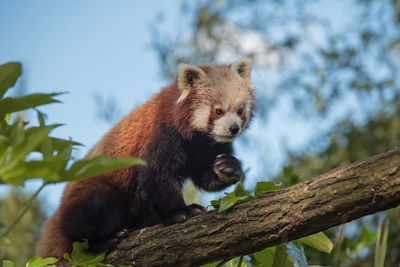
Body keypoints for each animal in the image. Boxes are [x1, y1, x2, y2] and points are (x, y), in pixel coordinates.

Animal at [36, 58, 253, 260]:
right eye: (219, 111)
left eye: (240, 110)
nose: (234, 128)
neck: (194, 137)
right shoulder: (160, 135)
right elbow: (156, 176)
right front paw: (181, 211)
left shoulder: (207, 146)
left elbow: (205, 176)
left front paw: (228, 168)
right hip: (89, 191)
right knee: (92, 212)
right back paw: (105, 239)